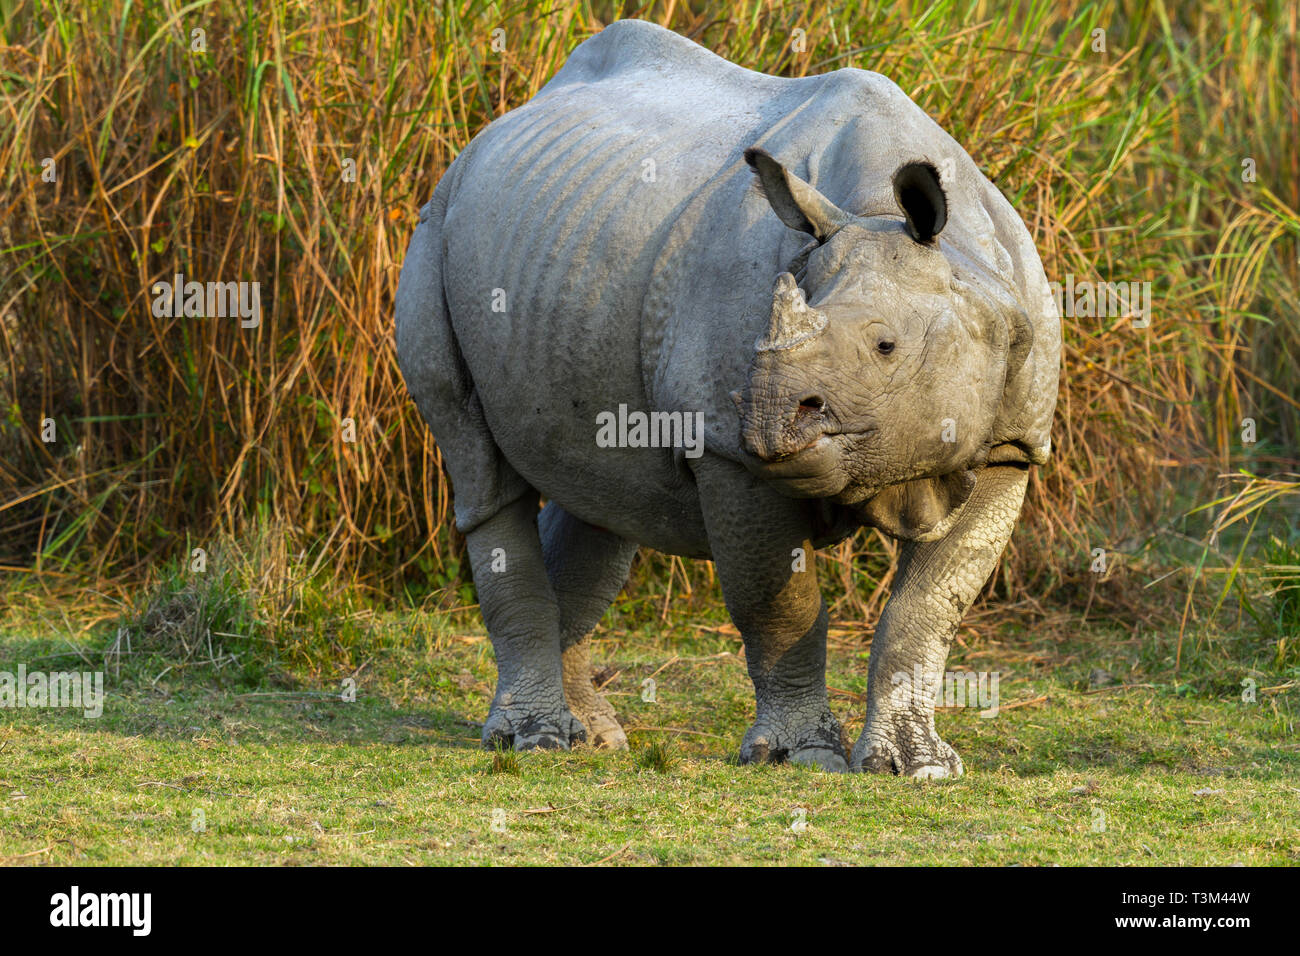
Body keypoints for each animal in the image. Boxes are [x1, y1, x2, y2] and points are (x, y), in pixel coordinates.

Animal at [395, 19, 1060, 776]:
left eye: (887, 347)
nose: (771, 425)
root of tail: (488, 135)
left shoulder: (1013, 444)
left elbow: (928, 607)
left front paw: (920, 767)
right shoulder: (725, 451)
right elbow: (783, 606)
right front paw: (802, 756)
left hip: (562, 241)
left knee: (599, 498)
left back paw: (592, 738)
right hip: (435, 228)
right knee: (480, 465)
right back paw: (534, 740)